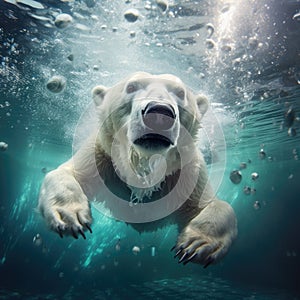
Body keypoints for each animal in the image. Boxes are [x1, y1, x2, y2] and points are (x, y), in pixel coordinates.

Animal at [38, 72, 238, 268]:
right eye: (131, 87)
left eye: (180, 93)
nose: (159, 113)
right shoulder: (101, 156)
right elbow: (65, 173)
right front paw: (69, 216)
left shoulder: (187, 171)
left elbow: (212, 204)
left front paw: (197, 243)